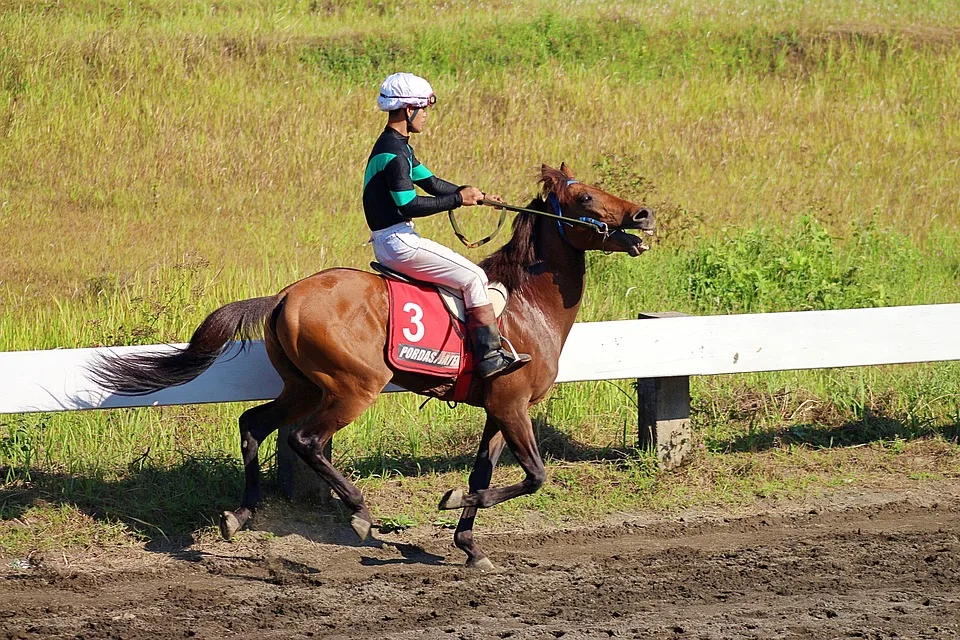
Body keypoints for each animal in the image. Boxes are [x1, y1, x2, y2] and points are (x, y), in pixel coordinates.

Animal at [92, 161, 652, 568]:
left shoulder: (498, 408)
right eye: (586, 198)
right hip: (353, 387)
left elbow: (482, 475)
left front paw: (468, 543)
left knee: (253, 424)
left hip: (304, 386)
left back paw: (242, 514)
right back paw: (359, 512)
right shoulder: (512, 405)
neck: (524, 305)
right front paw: (452, 502)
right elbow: (534, 476)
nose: (643, 214)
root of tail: (284, 296)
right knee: (305, 440)